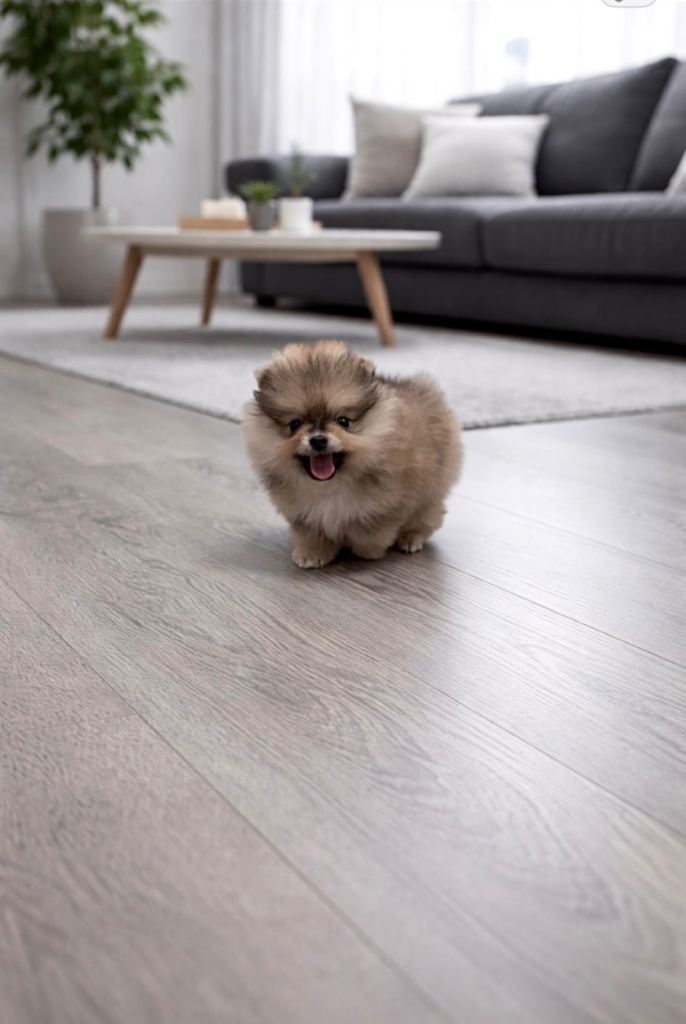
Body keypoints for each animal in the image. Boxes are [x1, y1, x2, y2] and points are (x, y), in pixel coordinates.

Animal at [243, 340, 462, 568]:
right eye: (294, 424)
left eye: (343, 421)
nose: (318, 440)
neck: (330, 486)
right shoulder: (303, 513)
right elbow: (311, 534)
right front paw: (311, 553)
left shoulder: (387, 506)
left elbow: (368, 531)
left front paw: (366, 551)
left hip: (431, 490)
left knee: (428, 517)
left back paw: (411, 538)